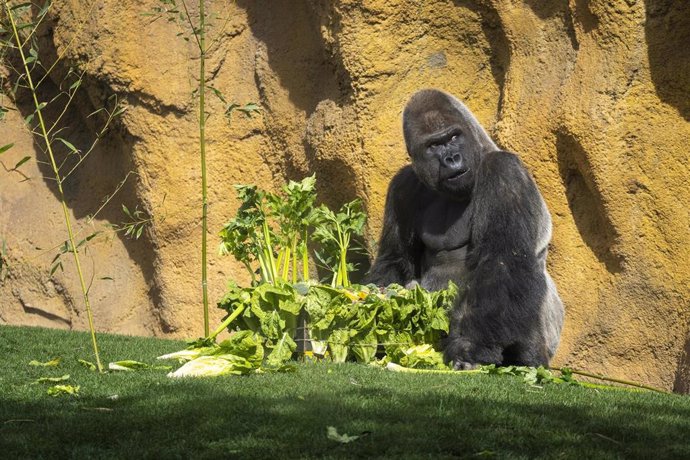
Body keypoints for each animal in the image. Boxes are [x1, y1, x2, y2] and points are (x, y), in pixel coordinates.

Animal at [362, 89, 560, 370]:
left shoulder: (504, 172)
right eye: (434, 145)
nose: (451, 159)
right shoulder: (403, 185)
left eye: (454, 137)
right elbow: (396, 261)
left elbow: (501, 261)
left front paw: (469, 346)